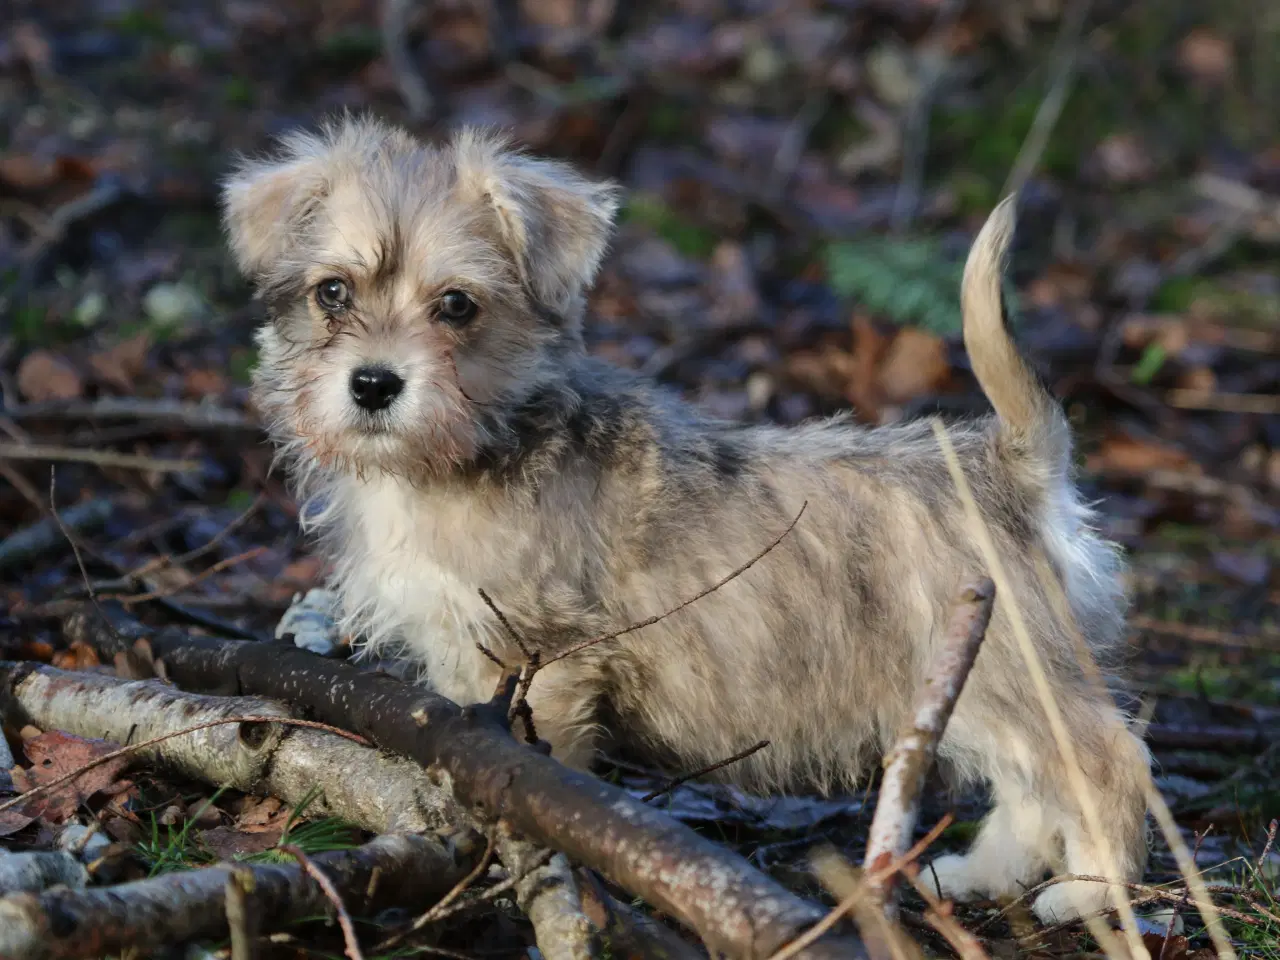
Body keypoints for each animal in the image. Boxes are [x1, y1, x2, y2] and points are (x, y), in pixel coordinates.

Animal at [225, 116, 1157, 926]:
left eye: (457, 306)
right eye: (332, 293)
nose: (374, 384)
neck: (464, 451)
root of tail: (1007, 461)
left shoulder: (544, 661)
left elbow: (535, 765)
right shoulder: (465, 660)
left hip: (1006, 670)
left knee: (1104, 759)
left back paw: (1089, 895)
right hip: (972, 683)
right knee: (1030, 789)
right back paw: (981, 873)